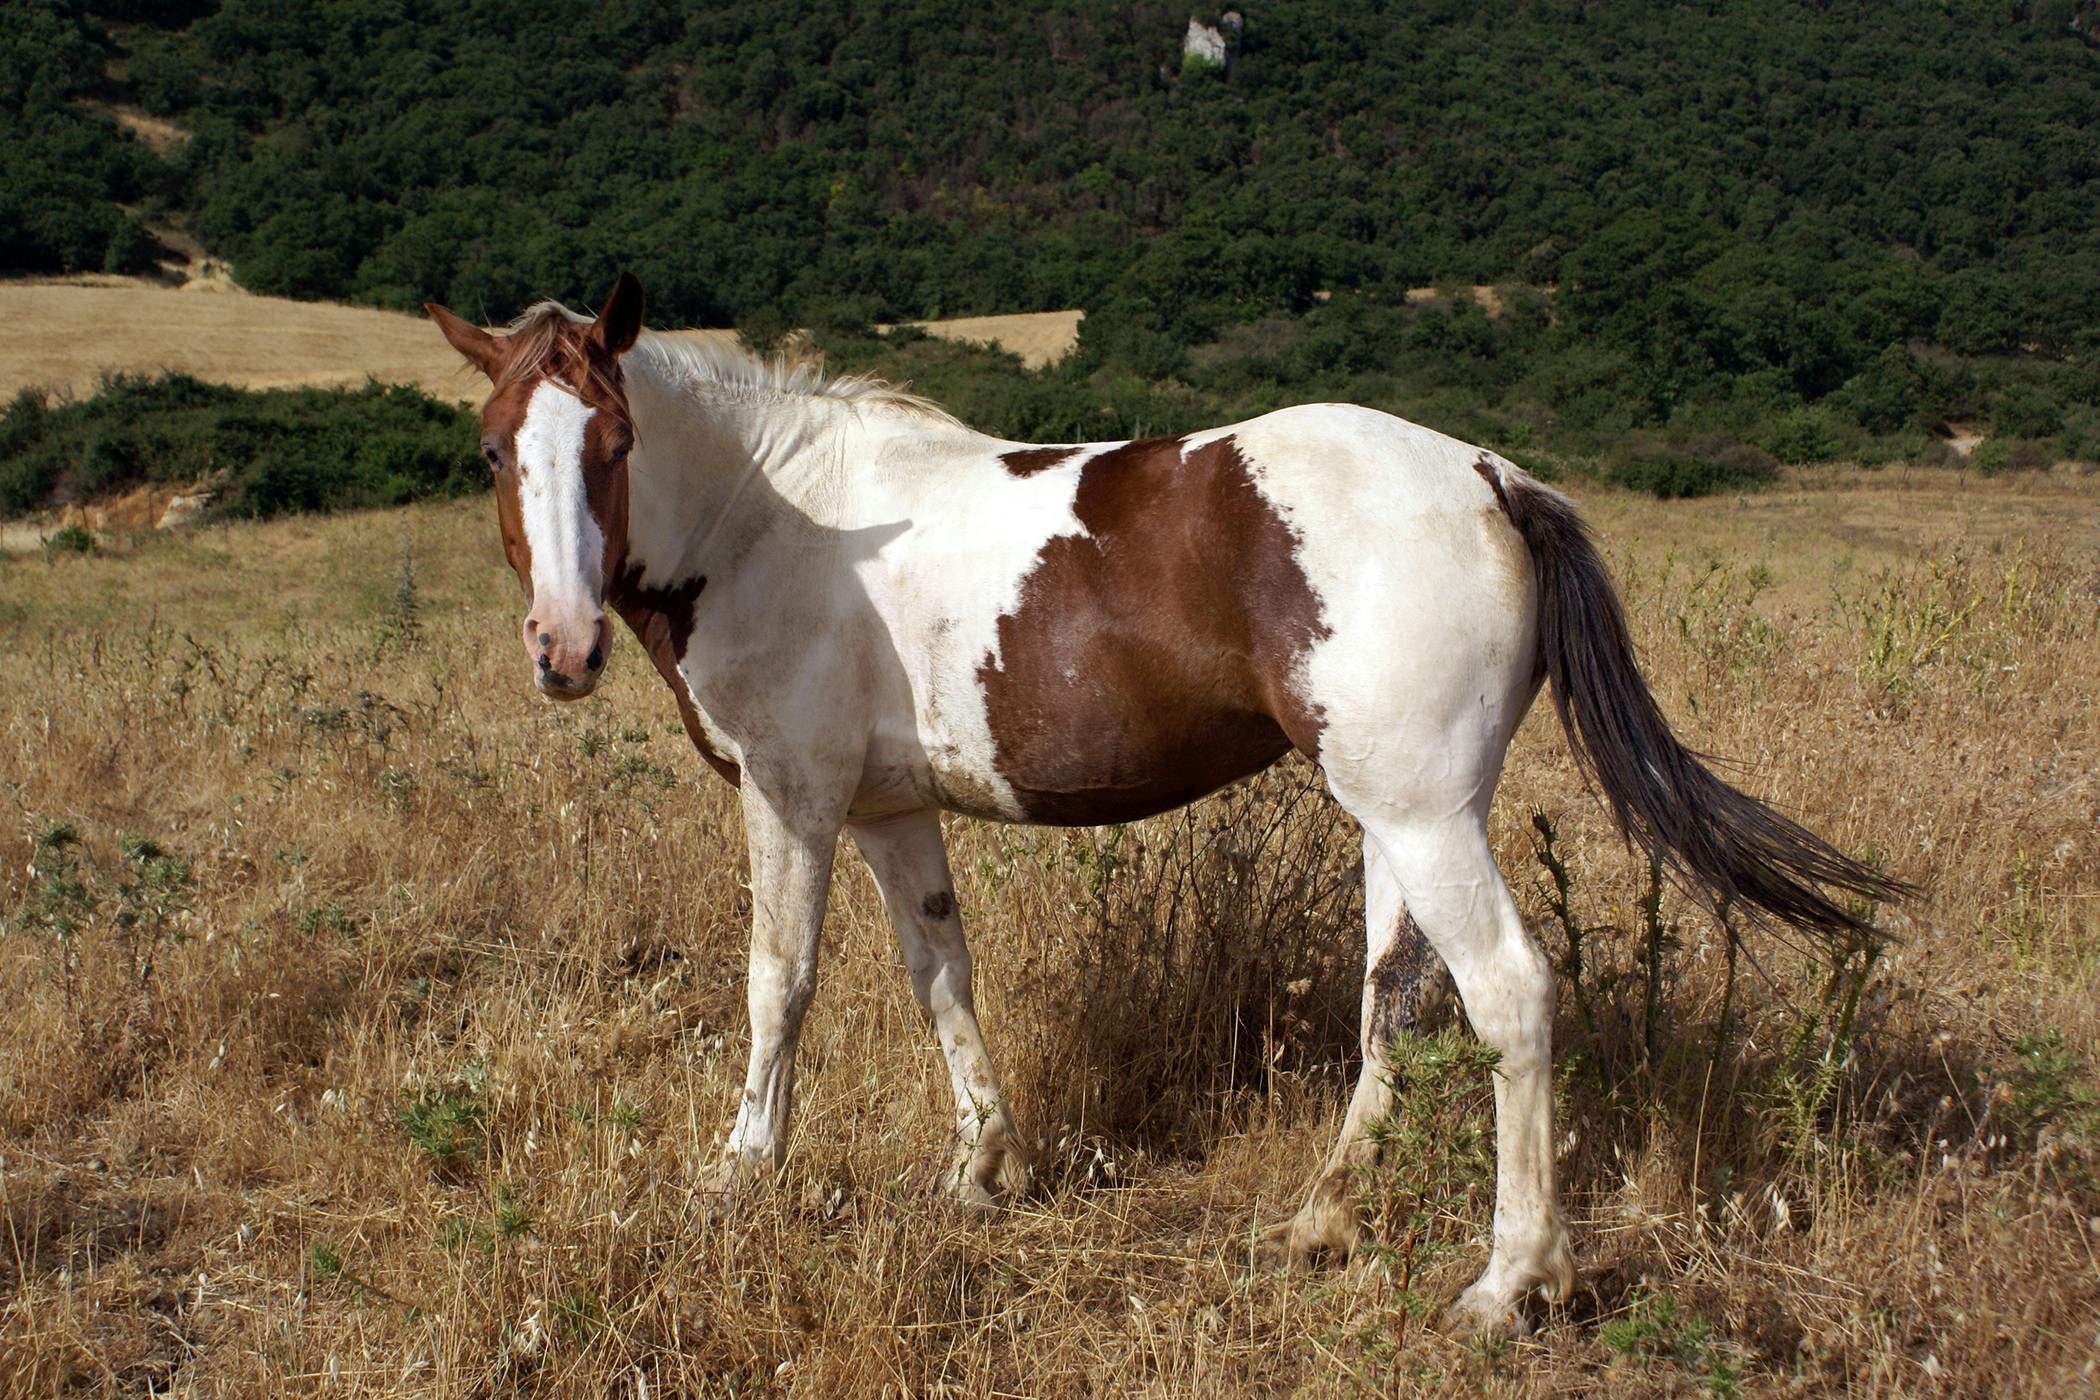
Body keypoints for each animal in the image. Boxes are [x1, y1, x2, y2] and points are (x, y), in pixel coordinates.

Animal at [425, 273, 1902, 1334]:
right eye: (494, 449)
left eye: (615, 440)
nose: (562, 649)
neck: (771, 518)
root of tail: (1491, 474)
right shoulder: (891, 813)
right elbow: (941, 973)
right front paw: (983, 1169)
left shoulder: (793, 799)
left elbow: (777, 982)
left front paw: (741, 1175)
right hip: (1398, 821)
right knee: (1394, 1000)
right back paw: (1320, 1221)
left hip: (1425, 817)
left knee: (1510, 998)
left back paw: (1507, 1283)